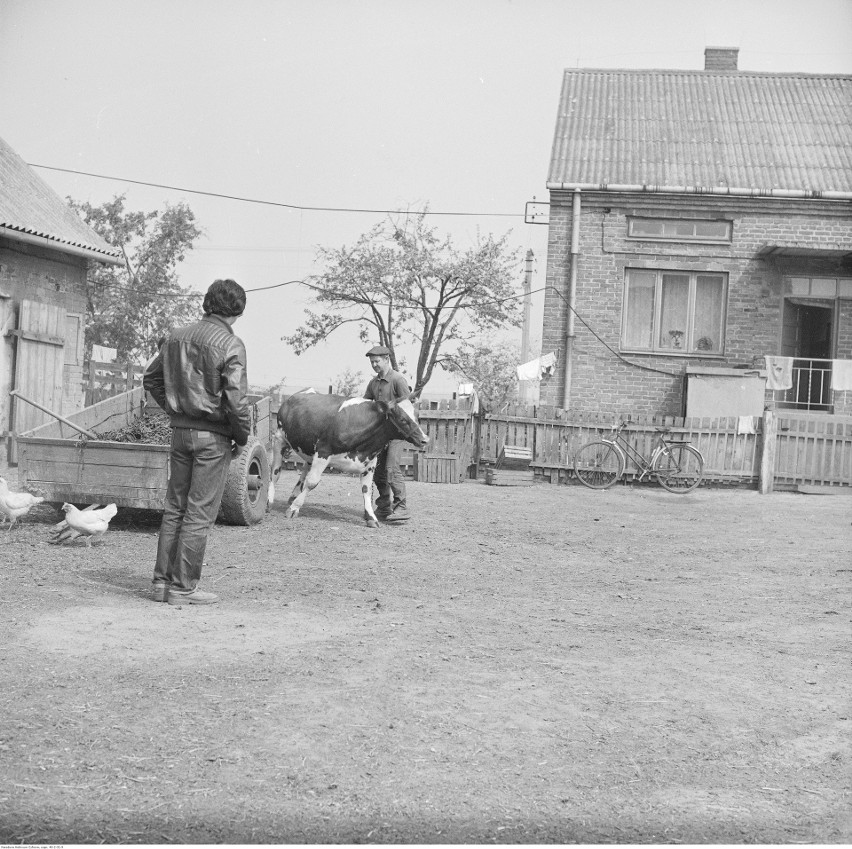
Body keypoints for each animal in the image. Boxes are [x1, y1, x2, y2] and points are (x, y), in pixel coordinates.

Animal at [272, 390, 426, 524]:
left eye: (417, 417)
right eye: (402, 419)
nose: (425, 439)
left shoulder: (370, 463)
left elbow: (366, 489)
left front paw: (371, 518)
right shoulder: (323, 452)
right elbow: (312, 482)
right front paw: (294, 509)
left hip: (308, 451)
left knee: (304, 470)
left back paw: (293, 495)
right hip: (279, 438)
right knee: (276, 472)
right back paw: (271, 500)